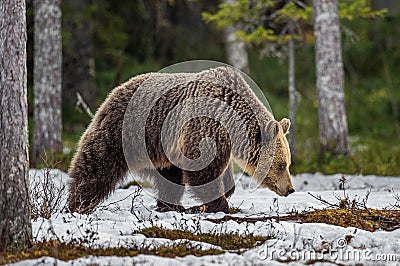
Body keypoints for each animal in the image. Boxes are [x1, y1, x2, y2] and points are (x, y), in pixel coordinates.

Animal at [68, 66, 294, 214]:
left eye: (288, 163)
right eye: (282, 165)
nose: (290, 189)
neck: (229, 121)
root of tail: (117, 88)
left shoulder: (222, 141)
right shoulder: (204, 127)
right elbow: (203, 172)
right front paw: (219, 205)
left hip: (160, 147)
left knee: (170, 176)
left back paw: (171, 205)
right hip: (128, 130)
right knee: (97, 163)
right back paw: (78, 203)